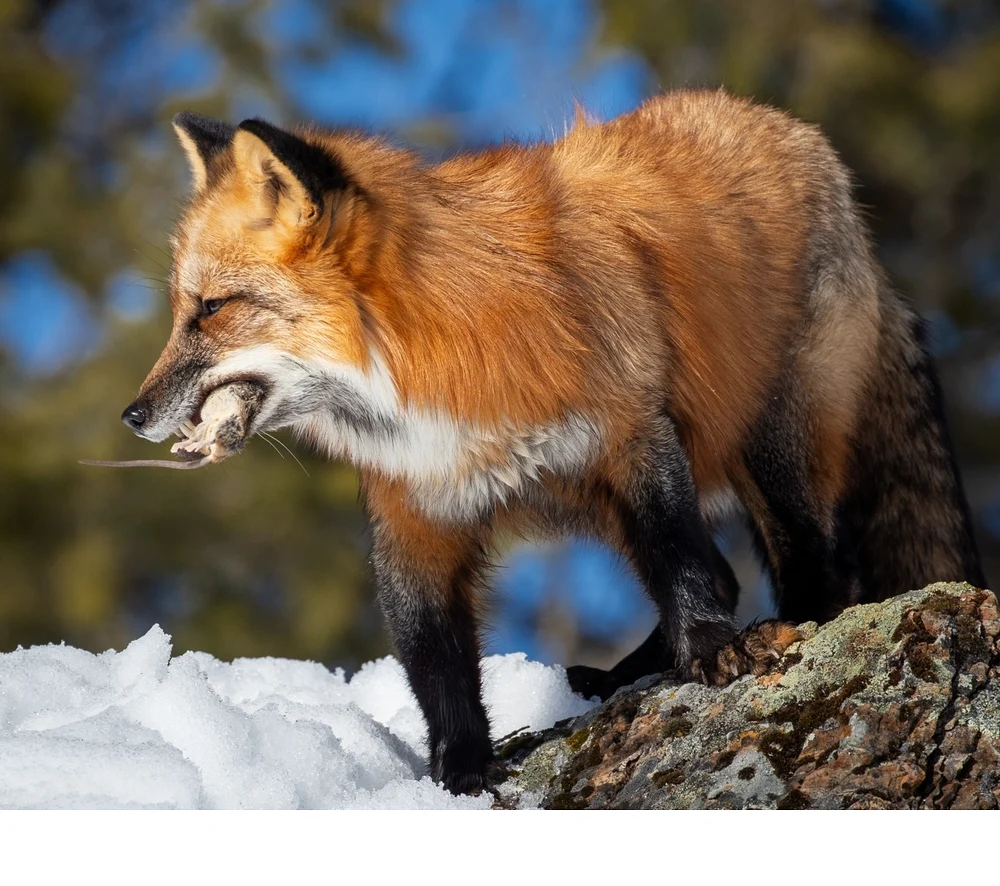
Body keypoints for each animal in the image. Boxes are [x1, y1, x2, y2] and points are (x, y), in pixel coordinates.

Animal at [119, 90, 985, 794]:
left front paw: (709, 650)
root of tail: (797, 132)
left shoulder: (633, 436)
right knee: (736, 573)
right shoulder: (415, 511)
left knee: (815, 566)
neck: (434, 359)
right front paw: (458, 770)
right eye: (183, 310)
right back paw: (623, 677)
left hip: (769, 444)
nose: (131, 415)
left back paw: (774, 631)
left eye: (211, 309)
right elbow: (434, 659)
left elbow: (680, 557)